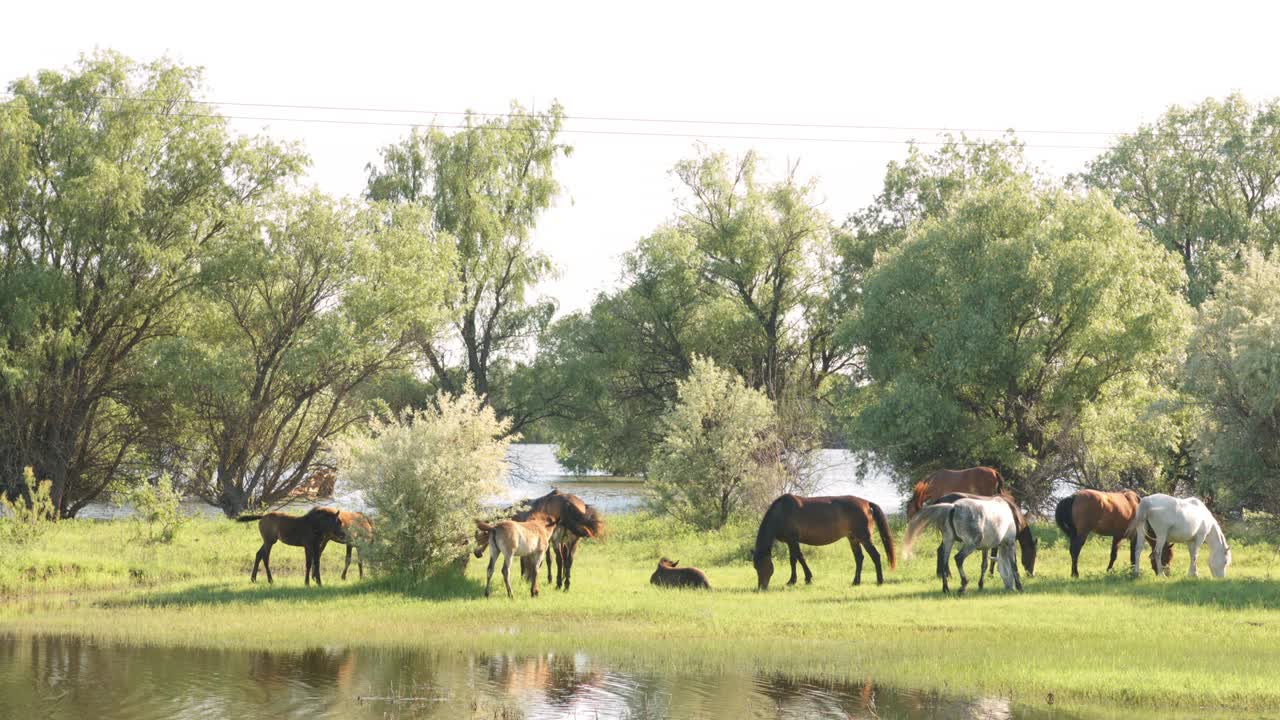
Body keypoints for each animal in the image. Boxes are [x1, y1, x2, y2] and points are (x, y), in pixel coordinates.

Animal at [752, 494, 897, 591]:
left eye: (762, 566)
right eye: (755, 567)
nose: (761, 587)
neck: (782, 512)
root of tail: (866, 503)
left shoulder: (792, 540)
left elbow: (797, 558)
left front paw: (799, 580)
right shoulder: (790, 541)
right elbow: (795, 559)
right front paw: (799, 579)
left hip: (864, 538)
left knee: (875, 556)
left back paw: (879, 581)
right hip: (853, 538)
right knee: (859, 558)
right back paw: (856, 582)